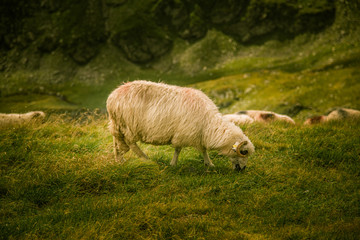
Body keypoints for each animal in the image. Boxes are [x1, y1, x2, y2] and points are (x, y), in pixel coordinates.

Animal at [105, 80, 255, 171]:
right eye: (244, 152)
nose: (242, 169)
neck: (208, 123)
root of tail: (112, 96)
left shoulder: (197, 135)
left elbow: (203, 150)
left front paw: (209, 163)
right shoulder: (183, 134)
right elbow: (178, 149)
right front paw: (173, 164)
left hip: (118, 124)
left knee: (117, 142)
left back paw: (120, 160)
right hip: (129, 125)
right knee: (131, 143)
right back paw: (146, 159)